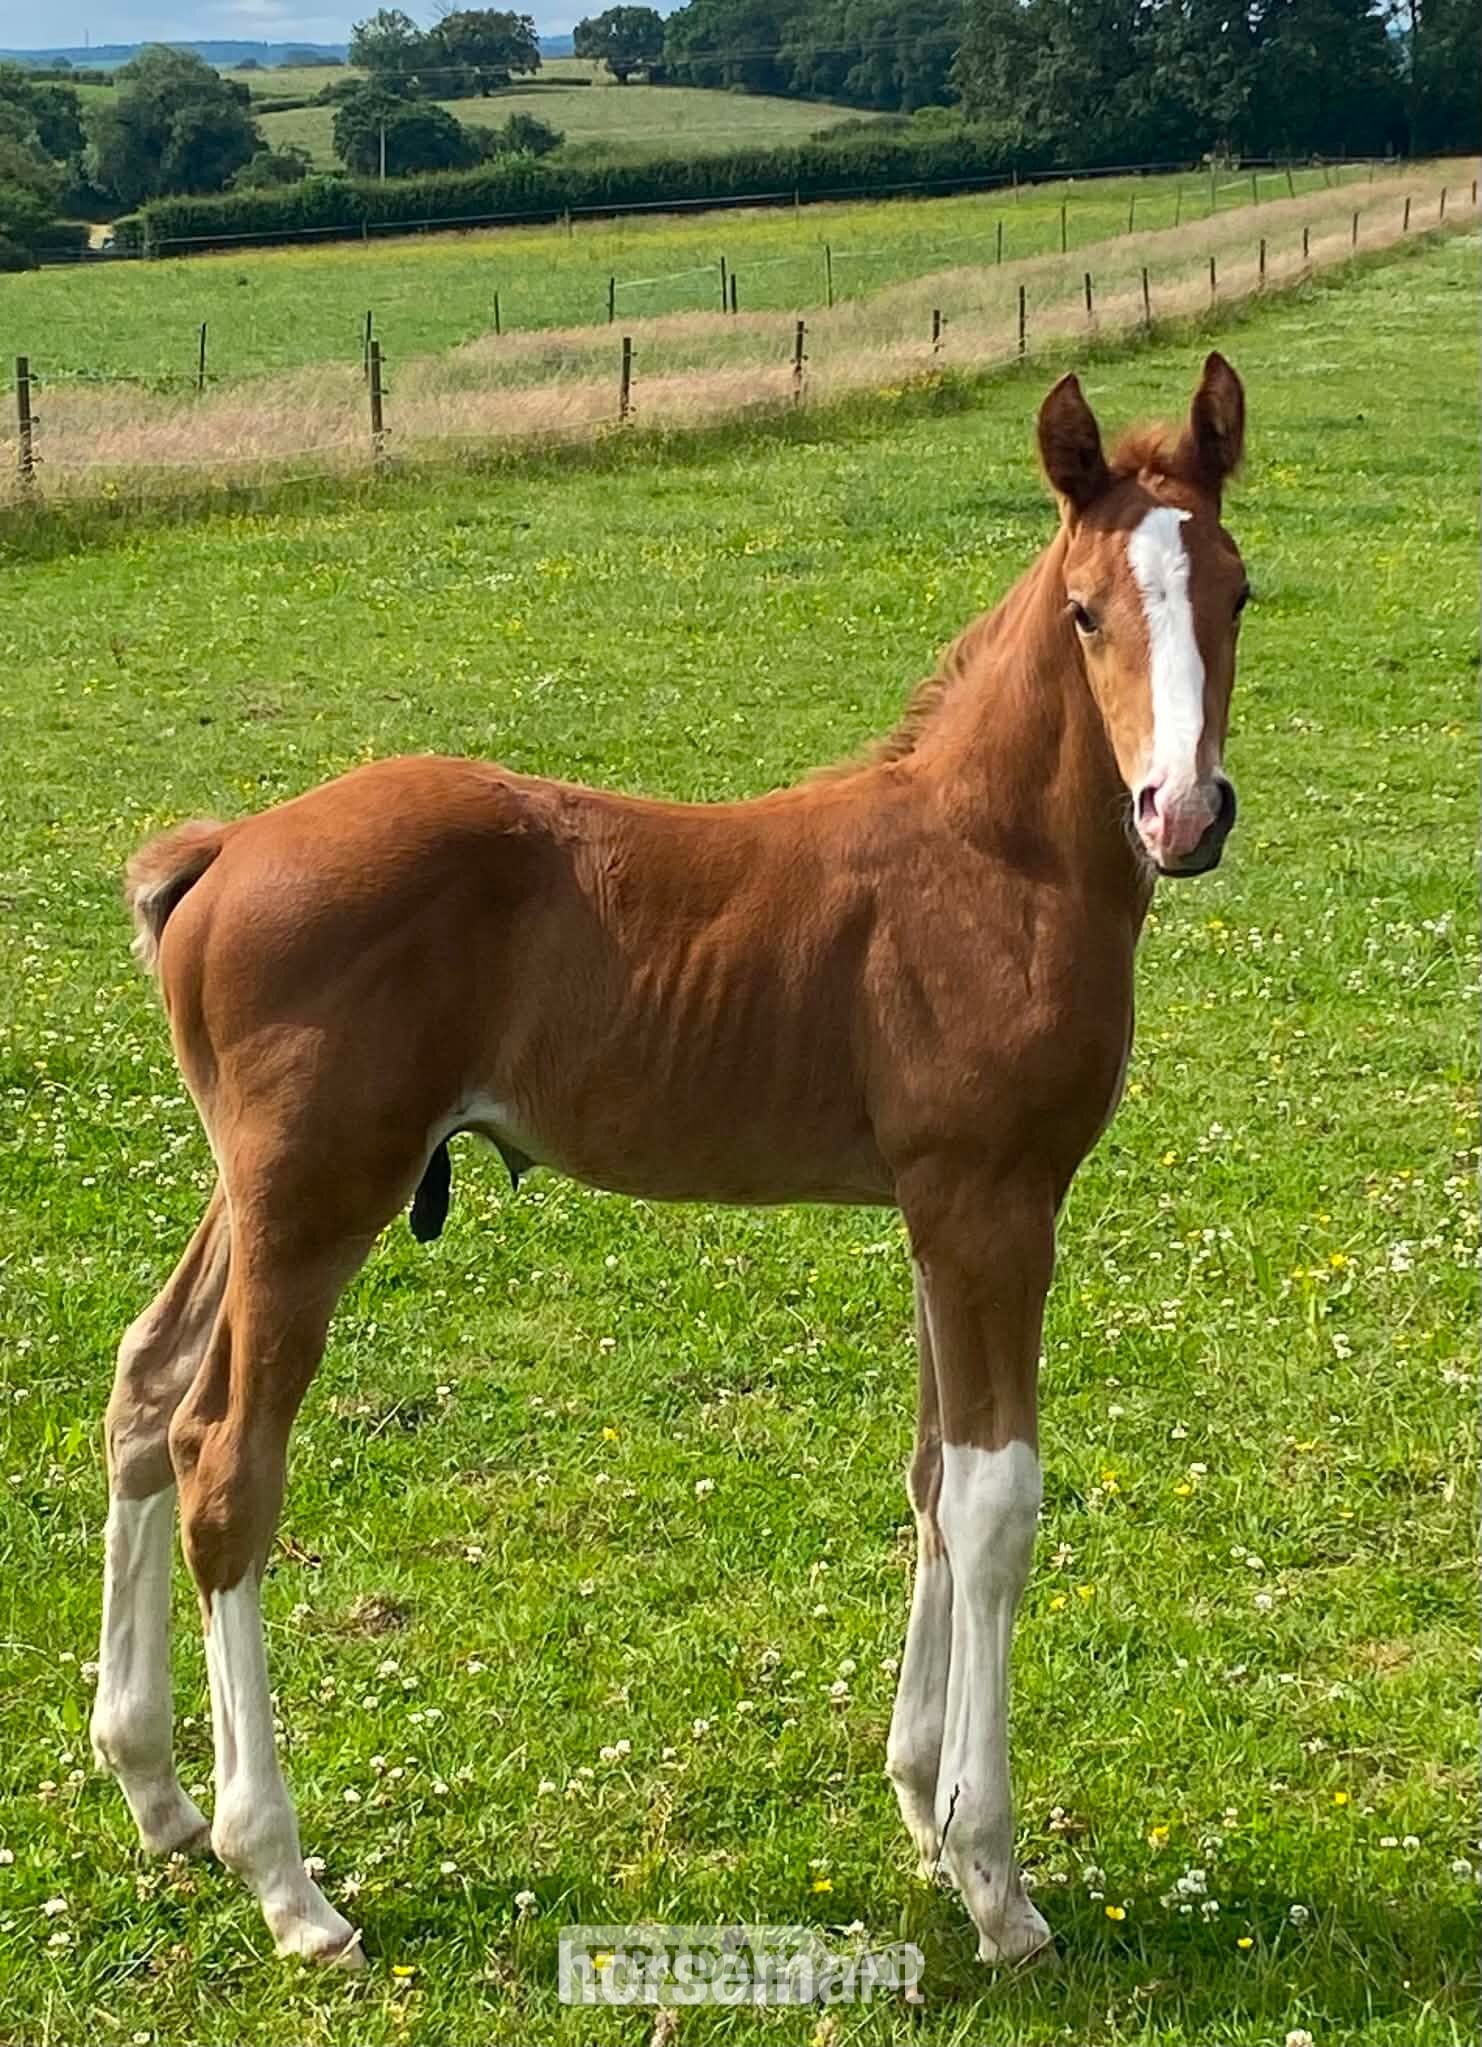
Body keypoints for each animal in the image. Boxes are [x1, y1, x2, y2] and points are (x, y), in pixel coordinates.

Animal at [90, 354, 1248, 1969]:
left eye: (1239, 591)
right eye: (1085, 610)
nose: (1182, 812)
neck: (989, 861)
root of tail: (225, 848)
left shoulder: (933, 1211)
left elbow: (926, 1477)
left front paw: (920, 1805)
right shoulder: (993, 1205)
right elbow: (993, 1503)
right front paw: (995, 1878)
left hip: (250, 1192)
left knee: (144, 1386)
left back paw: (156, 1791)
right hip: (319, 1198)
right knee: (223, 1459)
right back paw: (289, 1881)